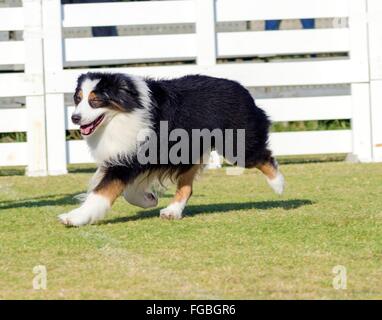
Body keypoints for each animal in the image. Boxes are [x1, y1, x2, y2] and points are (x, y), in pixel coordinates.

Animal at [57, 73, 284, 228]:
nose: (74, 118)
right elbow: (124, 189)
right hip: (191, 149)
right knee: (187, 187)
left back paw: (278, 184)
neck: (123, 113)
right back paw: (172, 211)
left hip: (236, 145)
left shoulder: (133, 157)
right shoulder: (123, 156)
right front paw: (149, 199)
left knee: (263, 156)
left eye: (95, 100)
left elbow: (101, 192)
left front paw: (74, 217)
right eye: (78, 98)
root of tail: (242, 88)